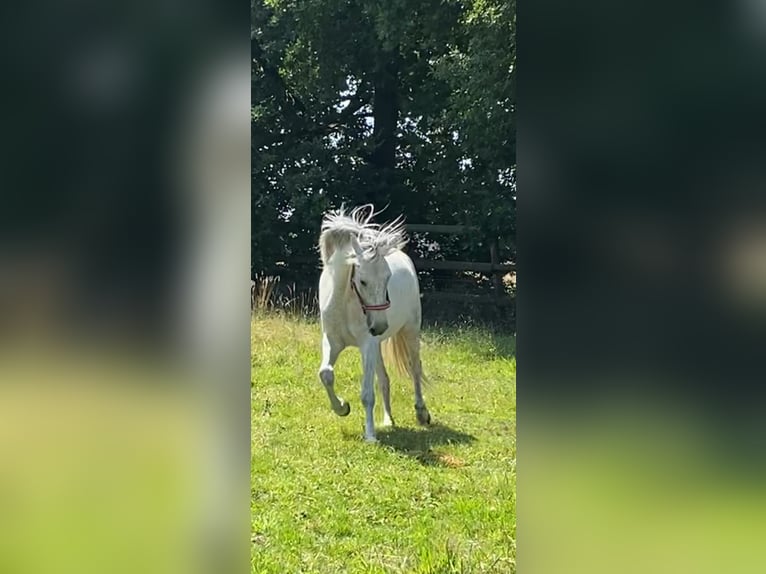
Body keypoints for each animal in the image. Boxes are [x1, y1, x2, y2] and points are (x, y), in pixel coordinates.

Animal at [316, 205, 428, 444]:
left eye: (387, 278)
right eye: (362, 281)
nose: (379, 326)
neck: (347, 302)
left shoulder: (367, 344)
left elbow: (367, 393)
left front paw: (370, 436)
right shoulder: (332, 341)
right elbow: (326, 374)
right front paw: (342, 407)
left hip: (410, 331)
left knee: (415, 369)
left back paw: (422, 413)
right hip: (378, 346)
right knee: (384, 379)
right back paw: (388, 420)